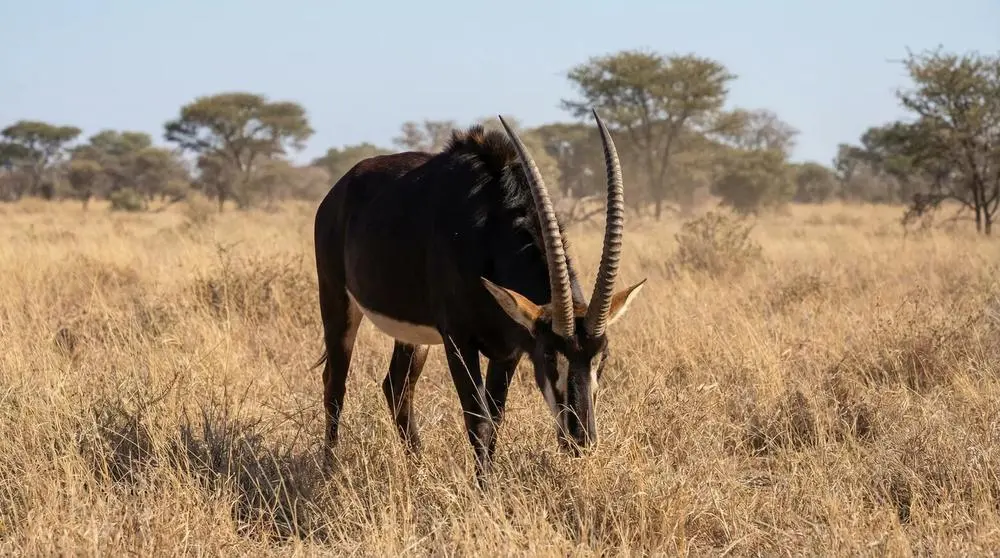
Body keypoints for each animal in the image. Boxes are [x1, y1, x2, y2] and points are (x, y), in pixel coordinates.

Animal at [312, 110, 645, 482]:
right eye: (549, 355)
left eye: (602, 356)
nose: (581, 439)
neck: (487, 225)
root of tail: (339, 190)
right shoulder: (459, 341)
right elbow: (479, 420)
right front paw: (484, 490)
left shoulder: (509, 350)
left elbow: (496, 418)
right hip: (337, 303)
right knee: (335, 385)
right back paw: (328, 470)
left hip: (415, 336)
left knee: (397, 386)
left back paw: (418, 469)